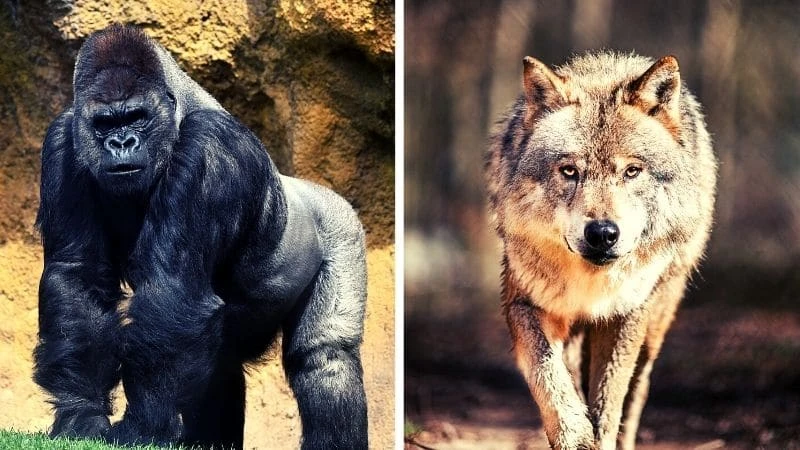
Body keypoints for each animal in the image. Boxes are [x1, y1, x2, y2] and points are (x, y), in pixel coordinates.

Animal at [485, 52, 716, 450]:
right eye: (569, 171)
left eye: (632, 171)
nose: (603, 233)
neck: (591, 283)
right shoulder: (524, 302)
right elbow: (549, 378)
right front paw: (574, 433)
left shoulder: (626, 314)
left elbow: (609, 401)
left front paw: (599, 434)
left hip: (655, 323)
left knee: (637, 391)